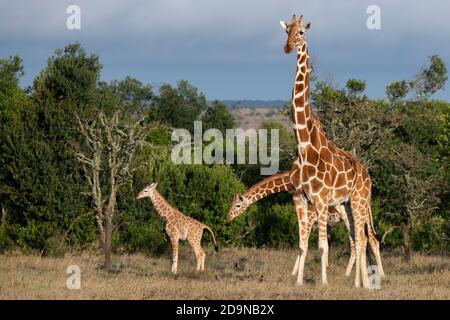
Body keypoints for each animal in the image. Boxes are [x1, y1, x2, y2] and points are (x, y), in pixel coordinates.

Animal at [280, 14, 382, 288]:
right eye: (287, 31)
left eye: (301, 32)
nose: (288, 47)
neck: (304, 145)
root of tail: (367, 175)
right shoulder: (300, 199)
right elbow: (303, 246)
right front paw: (298, 283)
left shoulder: (321, 200)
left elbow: (323, 246)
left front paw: (323, 283)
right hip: (346, 205)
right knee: (357, 239)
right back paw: (359, 283)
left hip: (358, 201)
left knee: (363, 239)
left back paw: (363, 283)